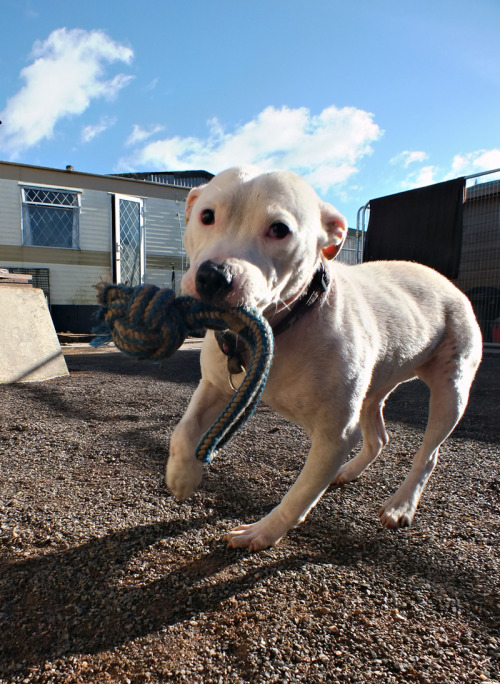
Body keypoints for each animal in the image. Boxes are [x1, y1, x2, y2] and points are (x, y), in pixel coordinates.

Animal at [166, 166, 482, 552]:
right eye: (207, 216)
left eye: (279, 229)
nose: (213, 276)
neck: (284, 323)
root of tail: (445, 280)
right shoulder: (214, 384)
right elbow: (184, 431)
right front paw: (182, 476)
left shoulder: (334, 436)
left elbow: (299, 496)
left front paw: (263, 532)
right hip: (373, 389)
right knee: (379, 437)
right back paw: (350, 471)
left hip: (452, 389)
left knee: (429, 453)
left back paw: (401, 505)